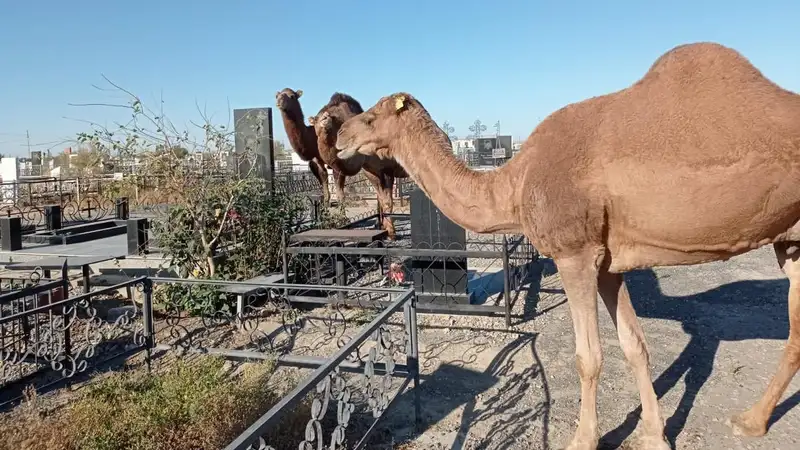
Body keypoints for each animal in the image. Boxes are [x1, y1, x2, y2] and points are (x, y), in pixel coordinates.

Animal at [336, 40, 800, 448]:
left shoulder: (574, 252)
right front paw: (654, 436)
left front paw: (582, 439)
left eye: (372, 116)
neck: (516, 181)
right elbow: (635, 346)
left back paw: (750, 421)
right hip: (792, 244)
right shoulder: (608, 262)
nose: (339, 135)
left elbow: (589, 357)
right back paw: (752, 421)